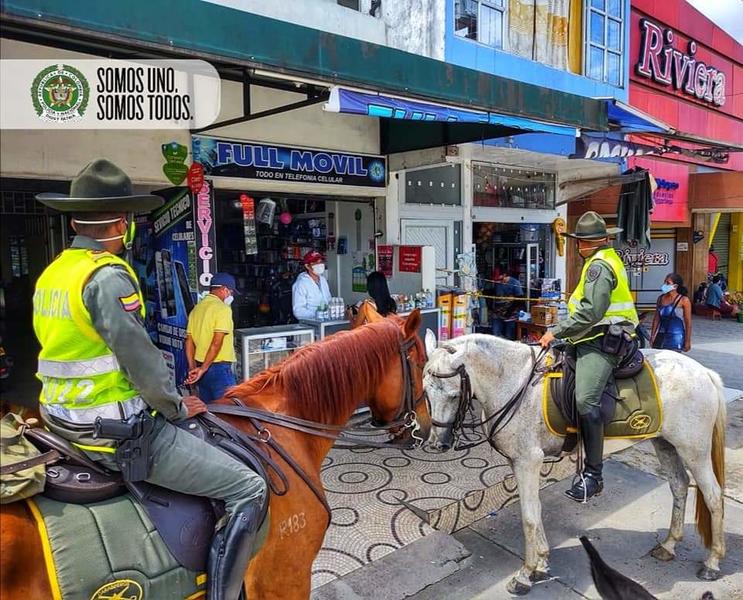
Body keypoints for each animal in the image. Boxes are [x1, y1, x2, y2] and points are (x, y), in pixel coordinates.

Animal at [424, 332, 728, 596]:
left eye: (454, 395)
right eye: (426, 391)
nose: (439, 443)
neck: (514, 382)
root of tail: (705, 373)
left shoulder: (527, 461)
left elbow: (529, 516)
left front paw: (526, 573)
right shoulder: (518, 462)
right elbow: (536, 509)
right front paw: (542, 562)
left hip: (694, 450)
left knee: (713, 496)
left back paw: (712, 562)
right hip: (664, 443)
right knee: (679, 486)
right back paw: (669, 545)